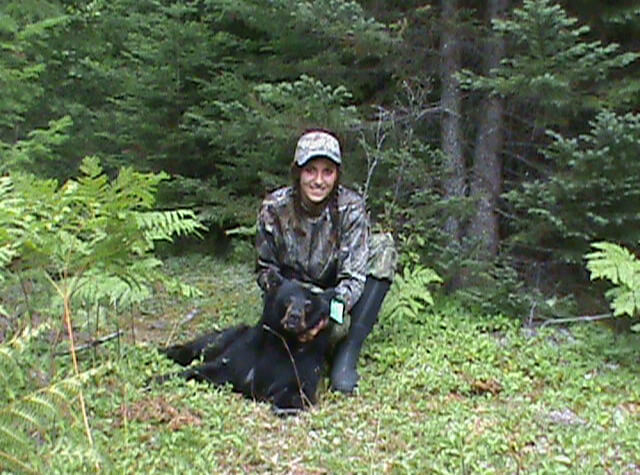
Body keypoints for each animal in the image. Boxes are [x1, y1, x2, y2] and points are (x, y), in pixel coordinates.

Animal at [158, 274, 336, 414]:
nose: (295, 316)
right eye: (287, 299)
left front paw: (283, 406)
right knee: (202, 346)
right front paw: (159, 379)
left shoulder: (304, 360)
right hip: (228, 336)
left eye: (308, 304)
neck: (283, 340)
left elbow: (299, 388)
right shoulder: (247, 351)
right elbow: (211, 369)